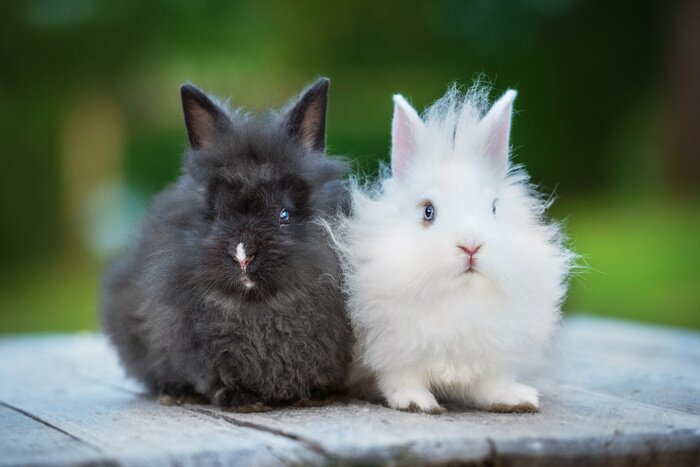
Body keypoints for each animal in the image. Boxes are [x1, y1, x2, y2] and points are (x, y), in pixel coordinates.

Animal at [101, 78, 353, 410]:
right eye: (219, 213)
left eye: (283, 215)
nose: (242, 255)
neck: (257, 308)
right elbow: (214, 375)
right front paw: (241, 399)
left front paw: (316, 396)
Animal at [332, 85, 574, 414]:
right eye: (428, 211)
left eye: (494, 207)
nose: (471, 246)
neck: (460, 297)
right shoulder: (394, 348)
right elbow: (399, 377)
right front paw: (417, 403)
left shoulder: (490, 356)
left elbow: (490, 383)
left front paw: (516, 399)